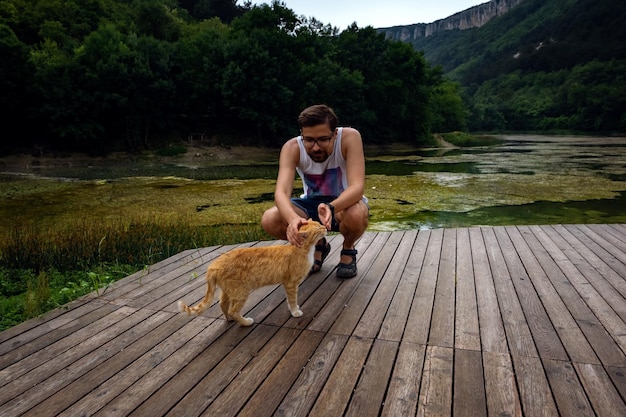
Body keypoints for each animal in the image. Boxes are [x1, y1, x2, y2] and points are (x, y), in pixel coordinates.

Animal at [177, 219, 326, 326]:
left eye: (320, 223)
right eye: (318, 227)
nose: (325, 226)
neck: (301, 250)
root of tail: (213, 265)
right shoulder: (290, 284)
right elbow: (292, 300)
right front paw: (295, 311)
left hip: (229, 291)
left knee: (222, 304)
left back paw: (229, 319)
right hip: (240, 292)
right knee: (233, 310)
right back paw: (246, 322)